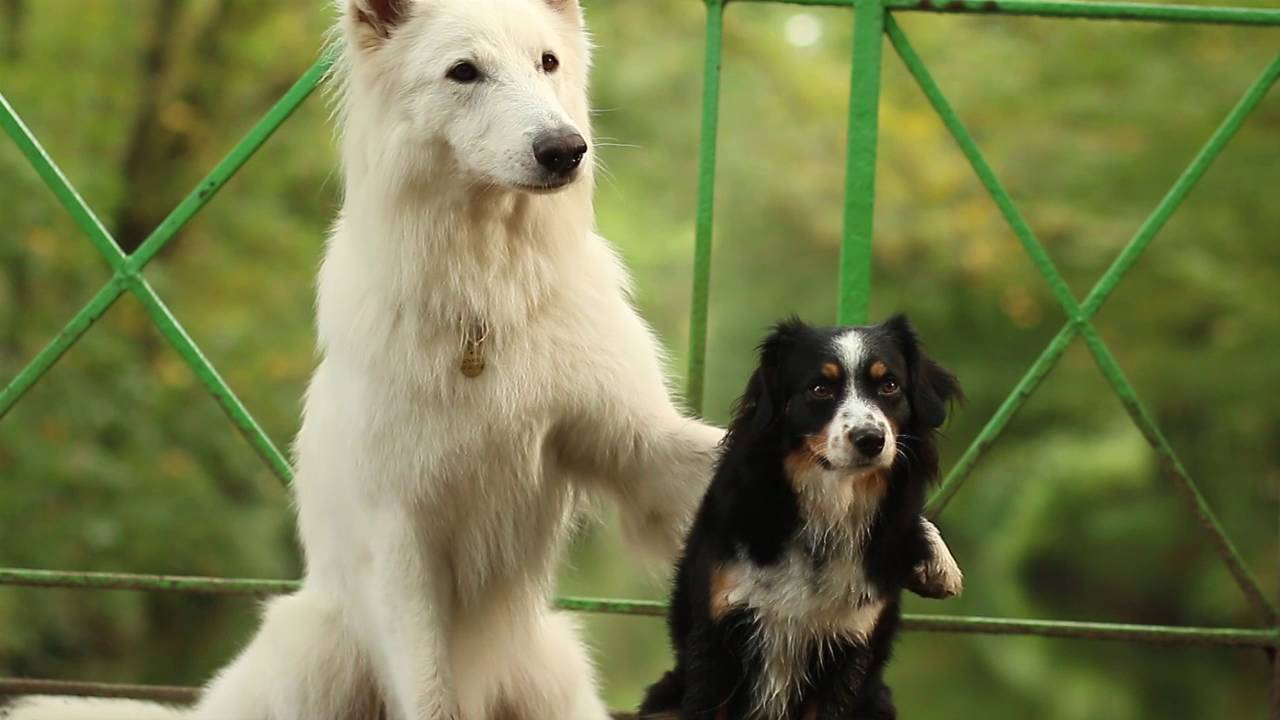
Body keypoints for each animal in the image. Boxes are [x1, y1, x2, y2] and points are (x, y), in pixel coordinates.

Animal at [645, 315, 962, 717]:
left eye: (890, 385)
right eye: (819, 388)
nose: (870, 439)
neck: (830, 509)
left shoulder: (848, 650)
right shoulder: (720, 632)